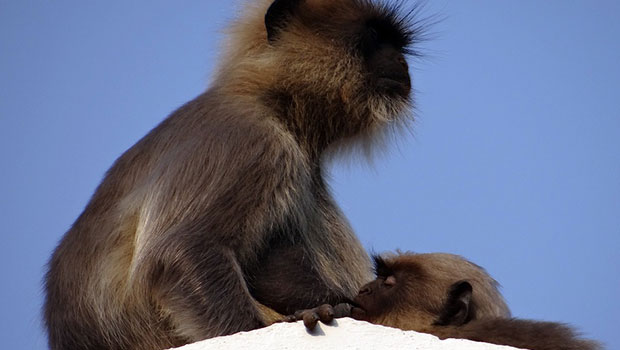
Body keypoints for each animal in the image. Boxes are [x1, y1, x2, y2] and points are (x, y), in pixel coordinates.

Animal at [42, 2, 422, 350]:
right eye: (374, 37)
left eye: (397, 46)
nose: (402, 64)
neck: (270, 100)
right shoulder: (248, 138)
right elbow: (182, 250)